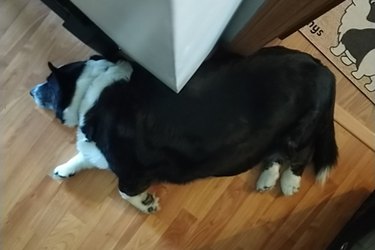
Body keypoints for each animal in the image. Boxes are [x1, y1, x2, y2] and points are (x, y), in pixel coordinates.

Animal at [30, 46, 340, 213]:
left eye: (48, 82)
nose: (31, 91)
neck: (93, 91)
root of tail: (324, 69)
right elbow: (82, 156)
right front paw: (63, 170)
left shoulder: (133, 172)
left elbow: (124, 192)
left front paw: (147, 205)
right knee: (275, 154)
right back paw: (267, 178)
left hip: (299, 131)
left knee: (302, 154)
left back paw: (289, 183)